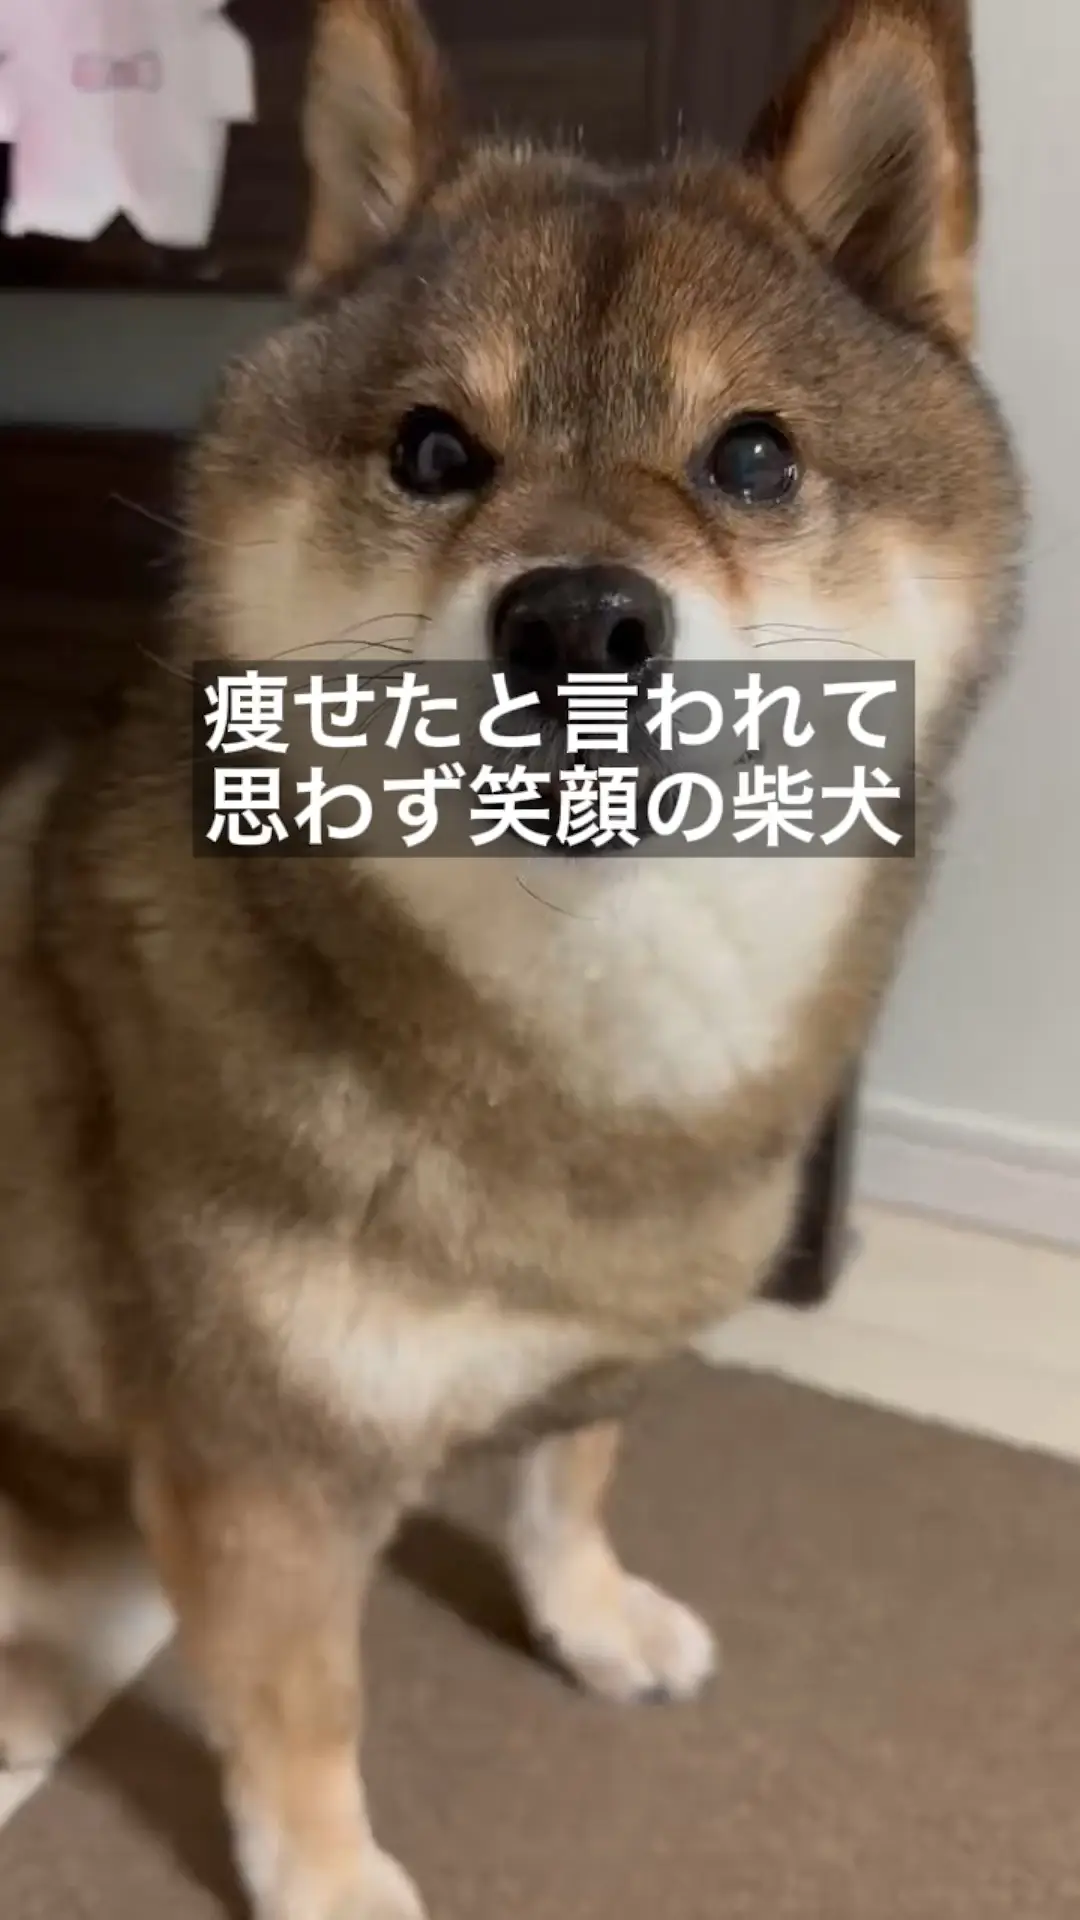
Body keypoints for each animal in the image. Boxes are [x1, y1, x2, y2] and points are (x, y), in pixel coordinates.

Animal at [0, 3, 1014, 1920]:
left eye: (753, 457)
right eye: (430, 452)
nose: (579, 617)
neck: (574, 1075)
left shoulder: (599, 1329)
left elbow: (567, 1485)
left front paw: (592, 1620)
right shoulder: (262, 1467)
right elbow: (299, 1699)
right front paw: (325, 1876)